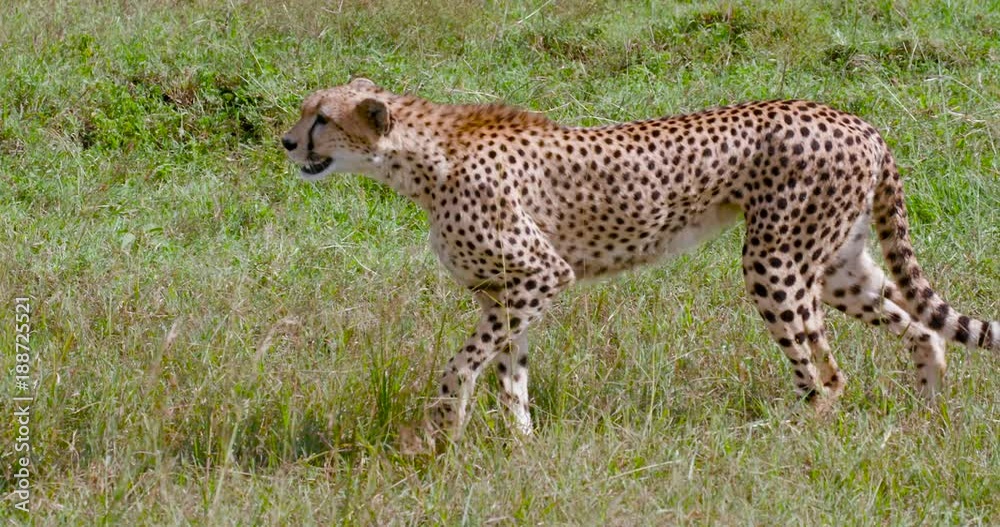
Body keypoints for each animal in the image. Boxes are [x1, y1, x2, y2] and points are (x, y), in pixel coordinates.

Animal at [282, 77, 998, 453]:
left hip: (774, 262)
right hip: (836, 263)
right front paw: (523, 449)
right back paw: (927, 418)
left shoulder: (541, 274)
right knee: (923, 329)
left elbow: (463, 365)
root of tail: (853, 118)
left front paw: (443, 431)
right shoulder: (505, 291)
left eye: (321, 119)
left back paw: (792, 439)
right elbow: (509, 373)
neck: (419, 159)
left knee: (828, 374)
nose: (287, 142)